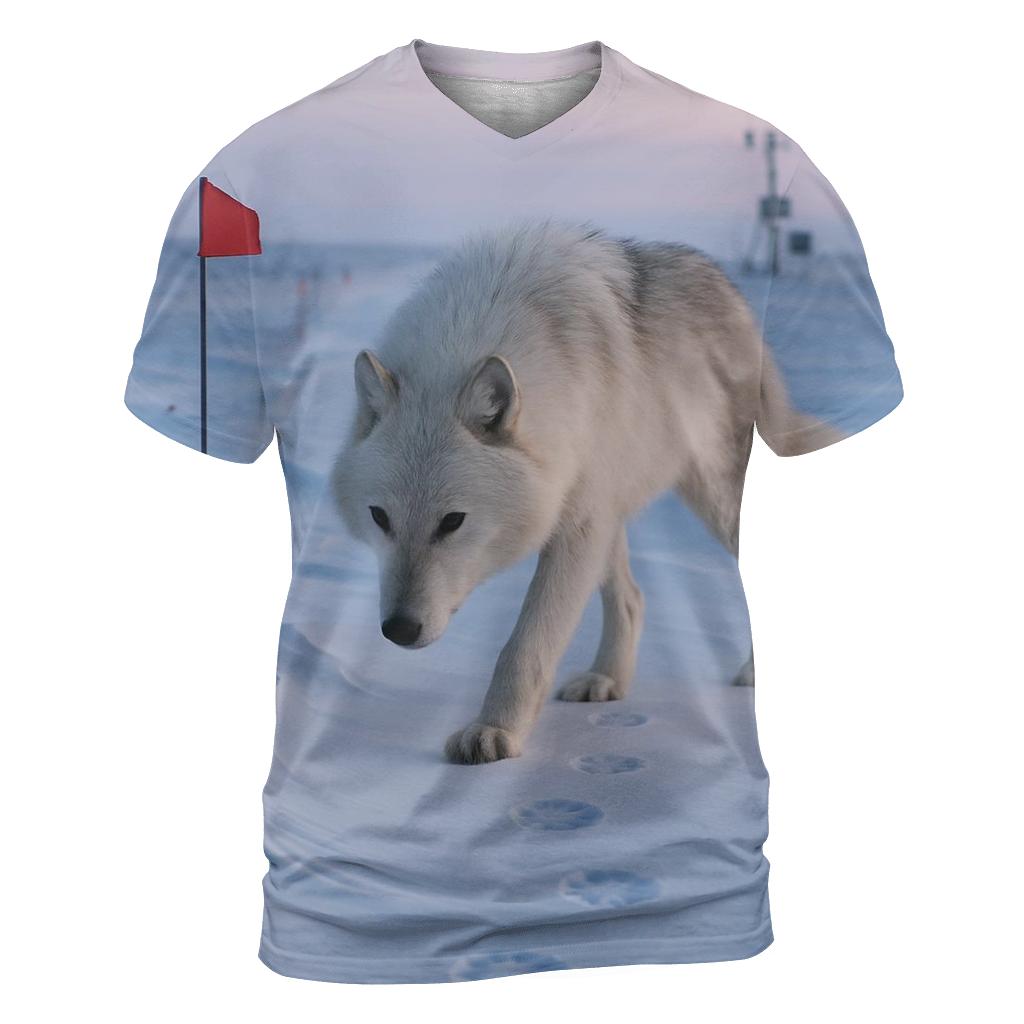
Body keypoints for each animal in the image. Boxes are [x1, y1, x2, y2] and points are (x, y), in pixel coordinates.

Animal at [333, 222, 837, 764]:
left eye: (452, 522)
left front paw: (494, 731)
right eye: (380, 518)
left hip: (711, 500)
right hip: (611, 512)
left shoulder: (575, 527)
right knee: (632, 599)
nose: (398, 629)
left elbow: (526, 645)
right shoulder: (584, 517)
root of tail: (733, 293)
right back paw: (607, 680)